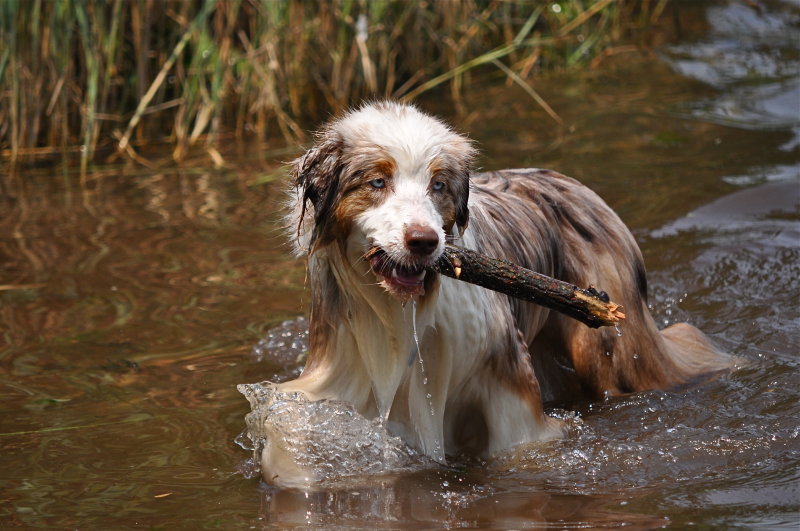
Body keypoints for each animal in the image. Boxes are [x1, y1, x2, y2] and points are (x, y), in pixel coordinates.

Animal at [262, 102, 732, 488]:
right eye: (377, 181)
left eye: (438, 186)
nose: (424, 241)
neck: (400, 309)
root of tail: (577, 186)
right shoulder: (339, 364)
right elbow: (291, 425)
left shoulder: (505, 371)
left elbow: (519, 440)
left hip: (609, 350)